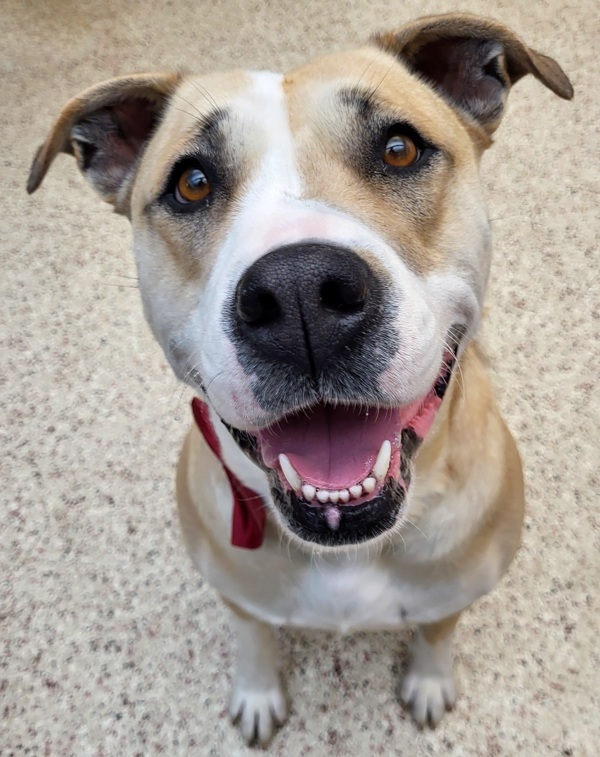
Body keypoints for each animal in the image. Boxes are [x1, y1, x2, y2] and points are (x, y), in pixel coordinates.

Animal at [28, 11, 572, 744]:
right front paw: (258, 694)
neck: (349, 548)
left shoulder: (454, 591)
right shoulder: (238, 593)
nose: (300, 294)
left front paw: (429, 680)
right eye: (191, 183)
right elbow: (254, 637)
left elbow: (436, 631)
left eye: (399, 148)